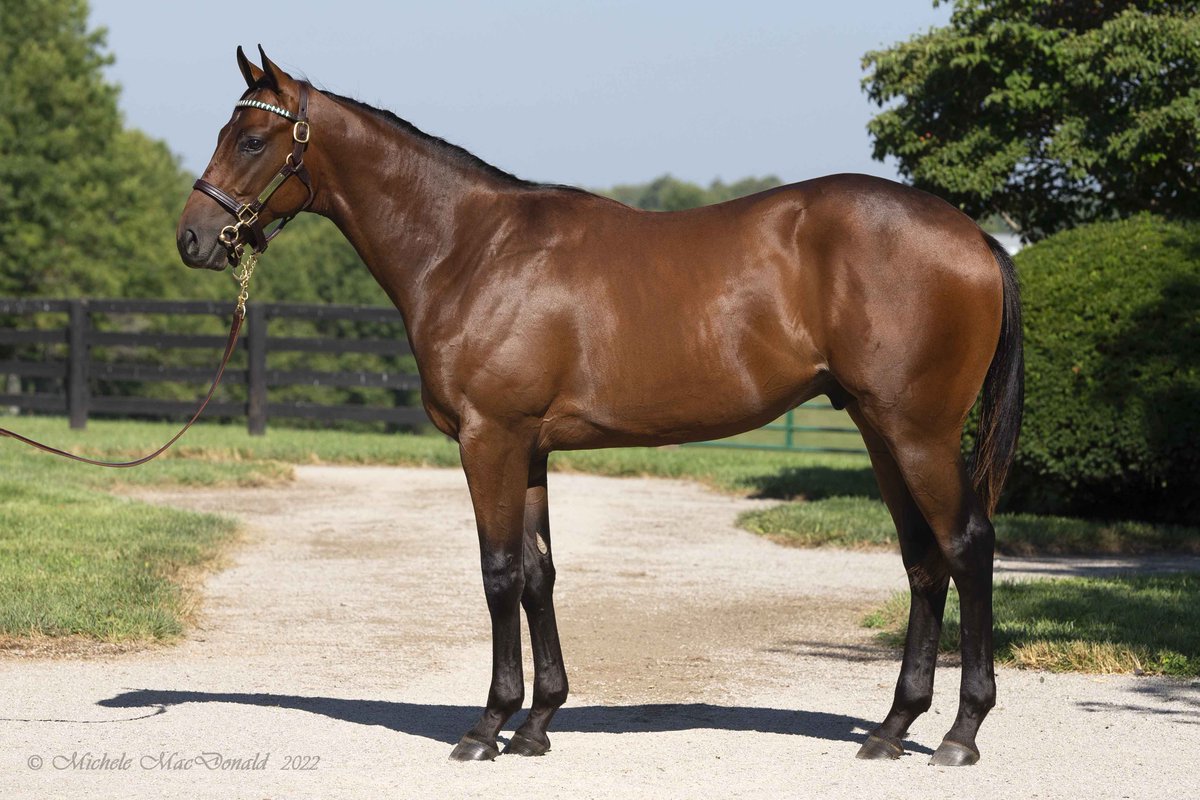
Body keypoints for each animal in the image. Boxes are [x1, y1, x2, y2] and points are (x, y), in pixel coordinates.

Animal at [177, 47, 1023, 767]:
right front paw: (538, 722)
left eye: (251, 138)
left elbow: (498, 573)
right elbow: (539, 574)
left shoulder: (489, 439)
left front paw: (487, 726)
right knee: (923, 561)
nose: (193, 238)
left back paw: (961, 733)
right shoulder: (530, 449)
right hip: (881, 431)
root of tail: (975, 237)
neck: (470, 249)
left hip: (918, 433)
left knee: (967, 546)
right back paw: (892, 727)